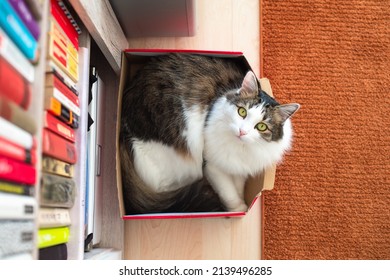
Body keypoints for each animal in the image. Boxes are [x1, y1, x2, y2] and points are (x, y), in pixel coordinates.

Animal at [119, 53, 298, 214]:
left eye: (261, 126)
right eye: (242, 112)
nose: (242, 131)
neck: (239, 148)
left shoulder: (240, 169)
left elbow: (238, 187)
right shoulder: (212, 165)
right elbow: (228, 191)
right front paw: (239, 208)